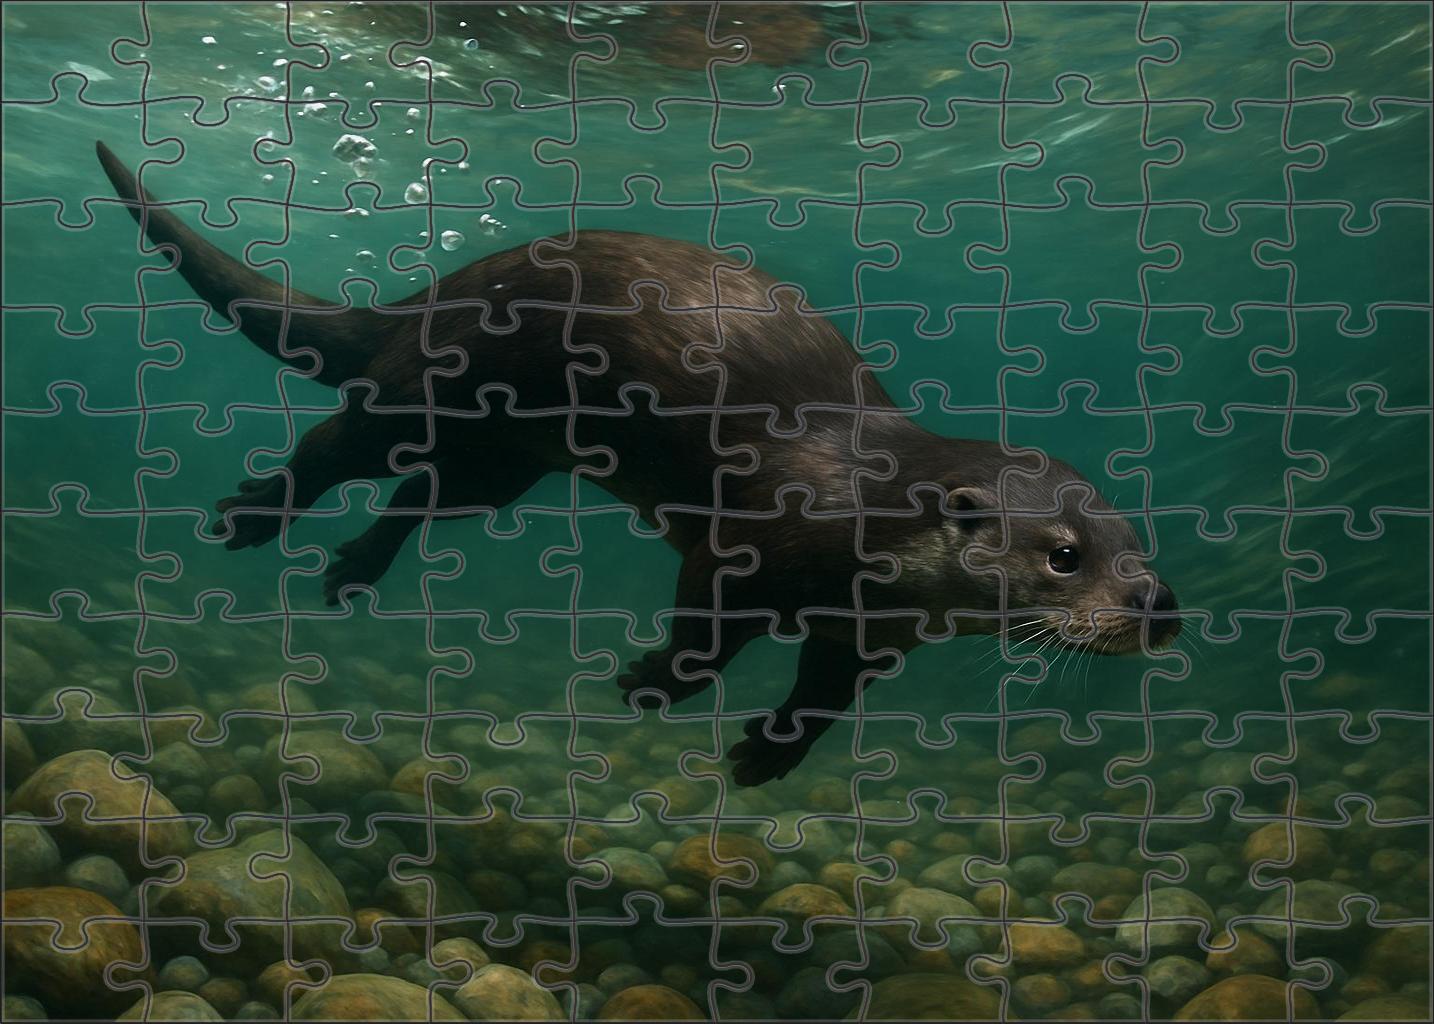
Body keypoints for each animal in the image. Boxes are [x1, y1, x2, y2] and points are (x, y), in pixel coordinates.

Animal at [96, 141, 1179, 786]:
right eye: (1066, 555)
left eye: (1142, 547)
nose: (1158, 609)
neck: (867, 507)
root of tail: (428, 296)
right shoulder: (749, 545)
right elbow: (706, 629)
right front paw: (655, 681)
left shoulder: (868, 635)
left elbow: (824, 695)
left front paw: (767, 753)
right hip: (432, 389)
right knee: (336, 446)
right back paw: (256, 514)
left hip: (500, 461)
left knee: (421, 494)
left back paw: (354, 568)